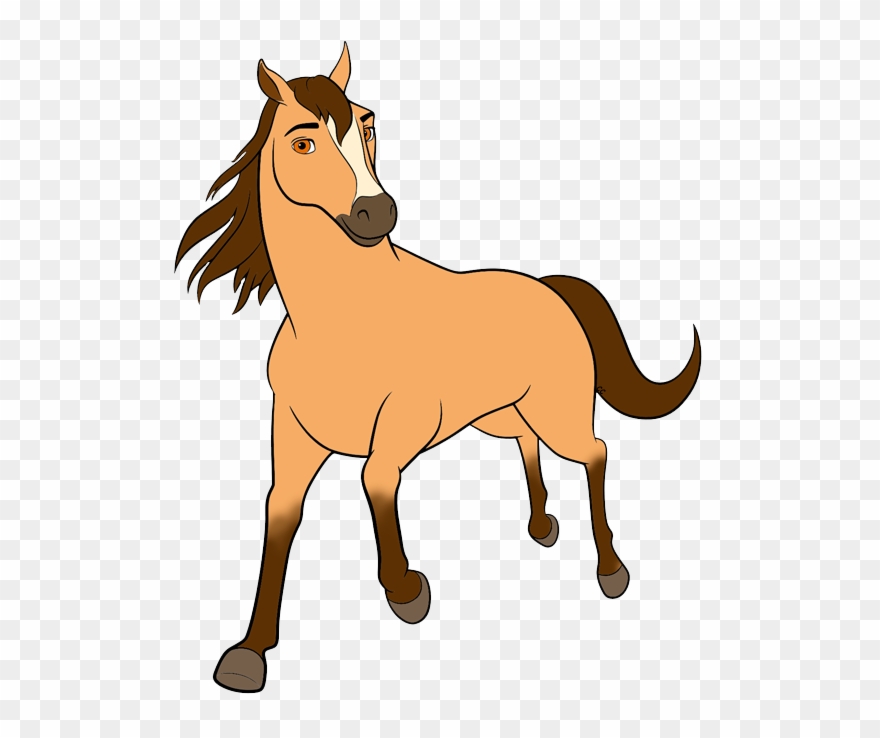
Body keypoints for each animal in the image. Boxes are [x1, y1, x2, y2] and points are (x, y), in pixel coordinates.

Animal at [176, 44, 701, 693]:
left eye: (368, 123)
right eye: (302, 142)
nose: (376, 212)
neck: (339, 323)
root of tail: (550, 290)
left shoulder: (408, 421)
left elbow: (376, 480)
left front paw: (407, 591)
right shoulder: (295, 436)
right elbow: (281, 516)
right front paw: (250, 653)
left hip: (559, 411)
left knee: (595, 452)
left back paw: (610, 570)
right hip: (502, 414)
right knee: (527, 442)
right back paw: (541, 525)